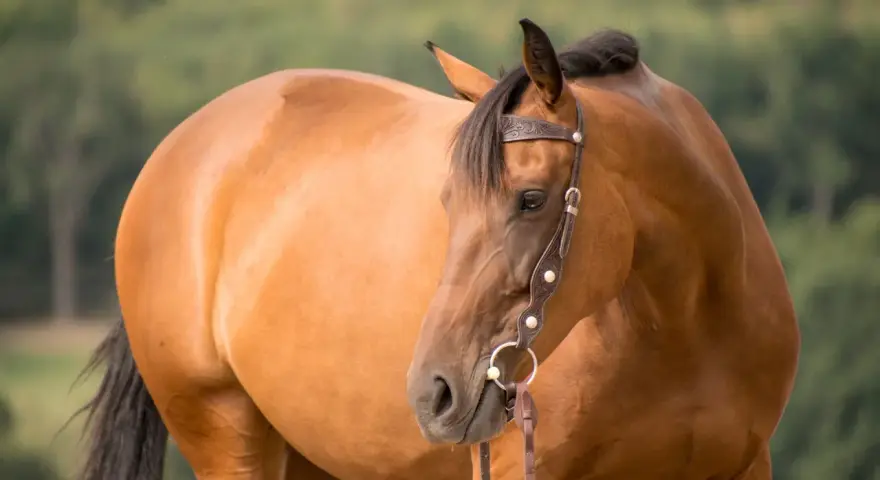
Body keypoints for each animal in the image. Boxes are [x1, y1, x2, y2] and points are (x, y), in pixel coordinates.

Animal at [73, 18, 800, 480]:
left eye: (531, 199)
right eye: (448, 201)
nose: (434, 392)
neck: (684, 327)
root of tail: (177, 150)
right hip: (226, 435)